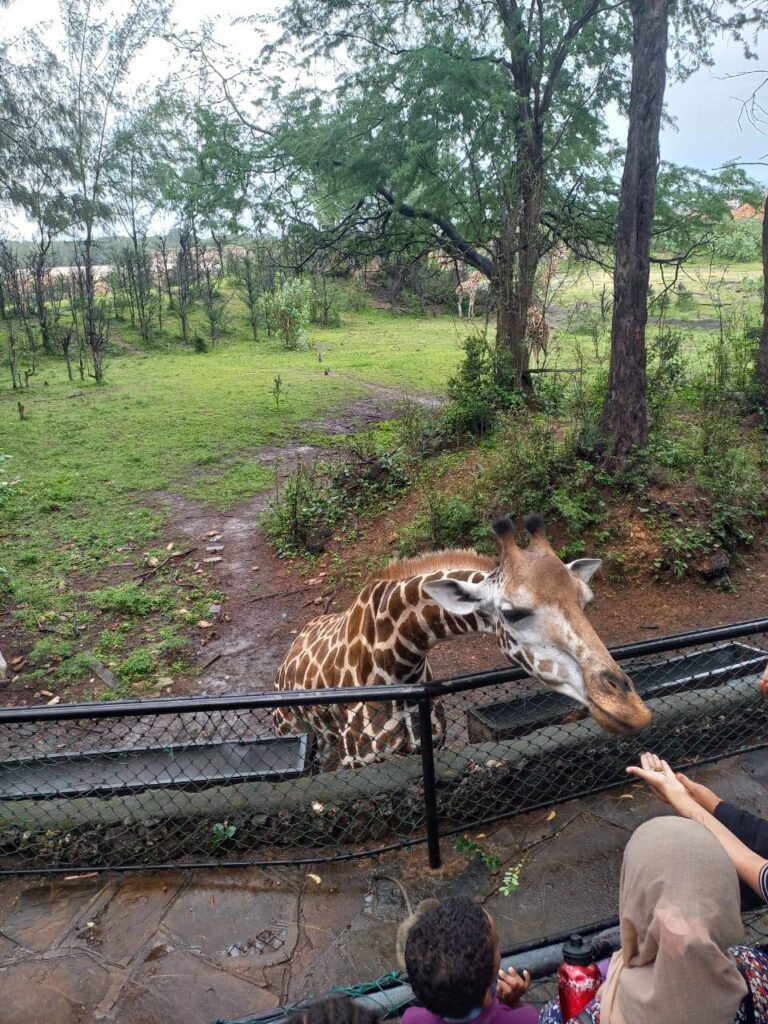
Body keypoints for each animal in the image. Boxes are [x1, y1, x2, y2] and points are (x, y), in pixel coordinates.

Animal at [274, 520, 651, 770]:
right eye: (513, 613)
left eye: (586, 600)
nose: (628, 708)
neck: (399, 664)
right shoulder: (360, 760)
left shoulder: (427, 747)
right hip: (294, 730)